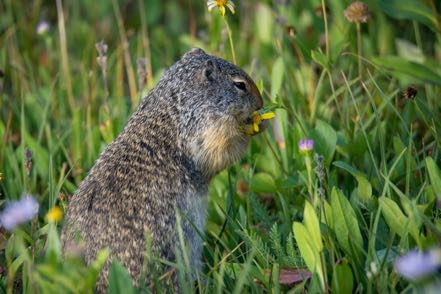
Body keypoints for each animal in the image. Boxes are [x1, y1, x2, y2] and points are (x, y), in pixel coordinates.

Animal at [62, 48, 264, 292]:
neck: (174, 102)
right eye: (240, 85)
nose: (261, 102)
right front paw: (253, 127)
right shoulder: (207, 129)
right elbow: (222, 151)